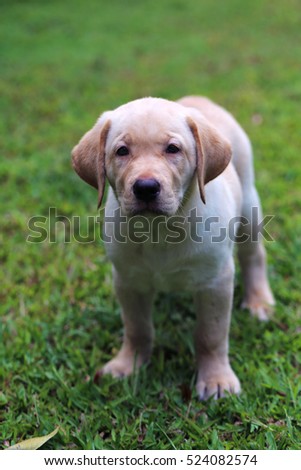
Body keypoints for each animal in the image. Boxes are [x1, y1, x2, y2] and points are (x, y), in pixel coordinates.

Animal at [71, 96, 274, 400]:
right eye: (122, 151)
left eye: (172, 149)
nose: (145, 187)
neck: (159, 229)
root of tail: (200, 99)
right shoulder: (128, 280)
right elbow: (137, 328)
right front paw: (128, 364)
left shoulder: (215, 281)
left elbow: (211, 335)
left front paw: (216, 379)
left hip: (249, 206)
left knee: (254, 256)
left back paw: (259, 300)